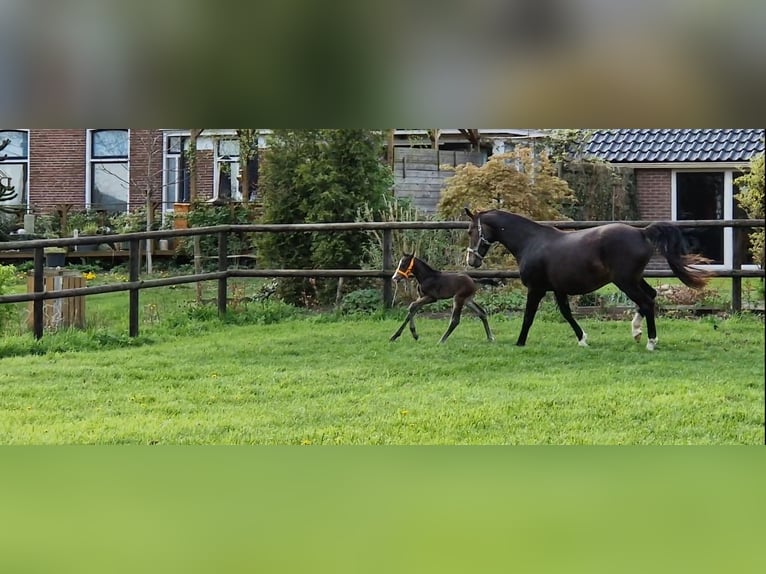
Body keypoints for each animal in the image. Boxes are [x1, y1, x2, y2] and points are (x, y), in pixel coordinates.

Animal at [464, 207, 712, 352]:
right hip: (634, 278)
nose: (471, 260)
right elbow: (566, 313)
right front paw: (582, 339)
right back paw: (636, 332)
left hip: (625, 281)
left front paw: (520, 342)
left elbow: (528, 317)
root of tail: (642, 233)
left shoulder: (536, 289)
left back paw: (651, 341)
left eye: (470, 231)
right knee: (650, 297)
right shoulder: (558, 289)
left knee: (647, 302)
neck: (530, 242)